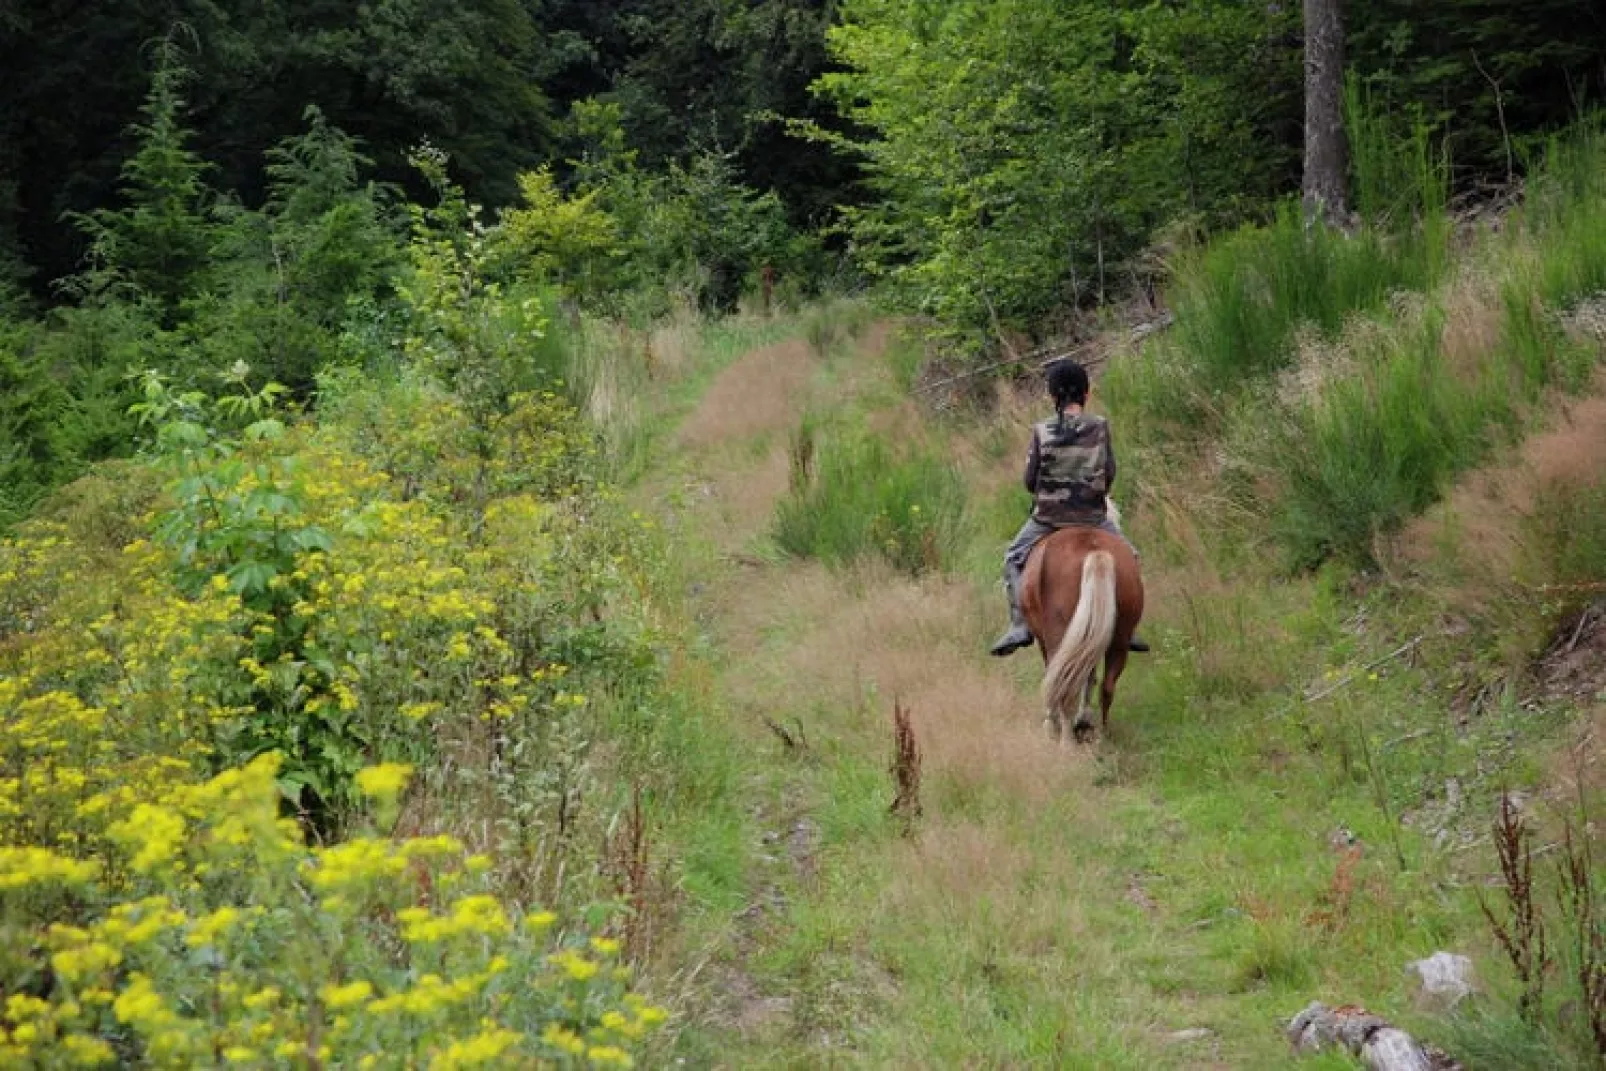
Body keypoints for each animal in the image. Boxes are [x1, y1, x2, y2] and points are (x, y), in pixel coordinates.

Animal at [1014, 526, 1143, 741]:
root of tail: (1095, 552)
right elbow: (1089, 677)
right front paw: (1083, 719)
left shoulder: (1049, 641)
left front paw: (1052, 723)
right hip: (1119, 639)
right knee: (1106, 687)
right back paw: (1101, 734)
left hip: (1059, 637)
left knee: (1064, 685)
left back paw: (1066, 741)